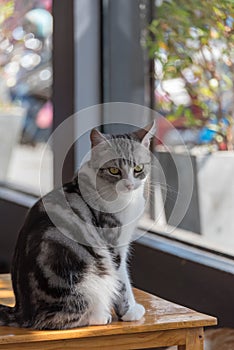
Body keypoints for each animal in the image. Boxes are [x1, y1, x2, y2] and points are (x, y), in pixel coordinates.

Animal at [0, 121, 156, 330]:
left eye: (138, 168)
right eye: (114, 170)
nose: (129, 185)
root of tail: (22, 311)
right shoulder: (113, 245)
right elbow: (122, 281)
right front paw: (130, 311)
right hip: (85, 279)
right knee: (58, 319)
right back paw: (100, 315)